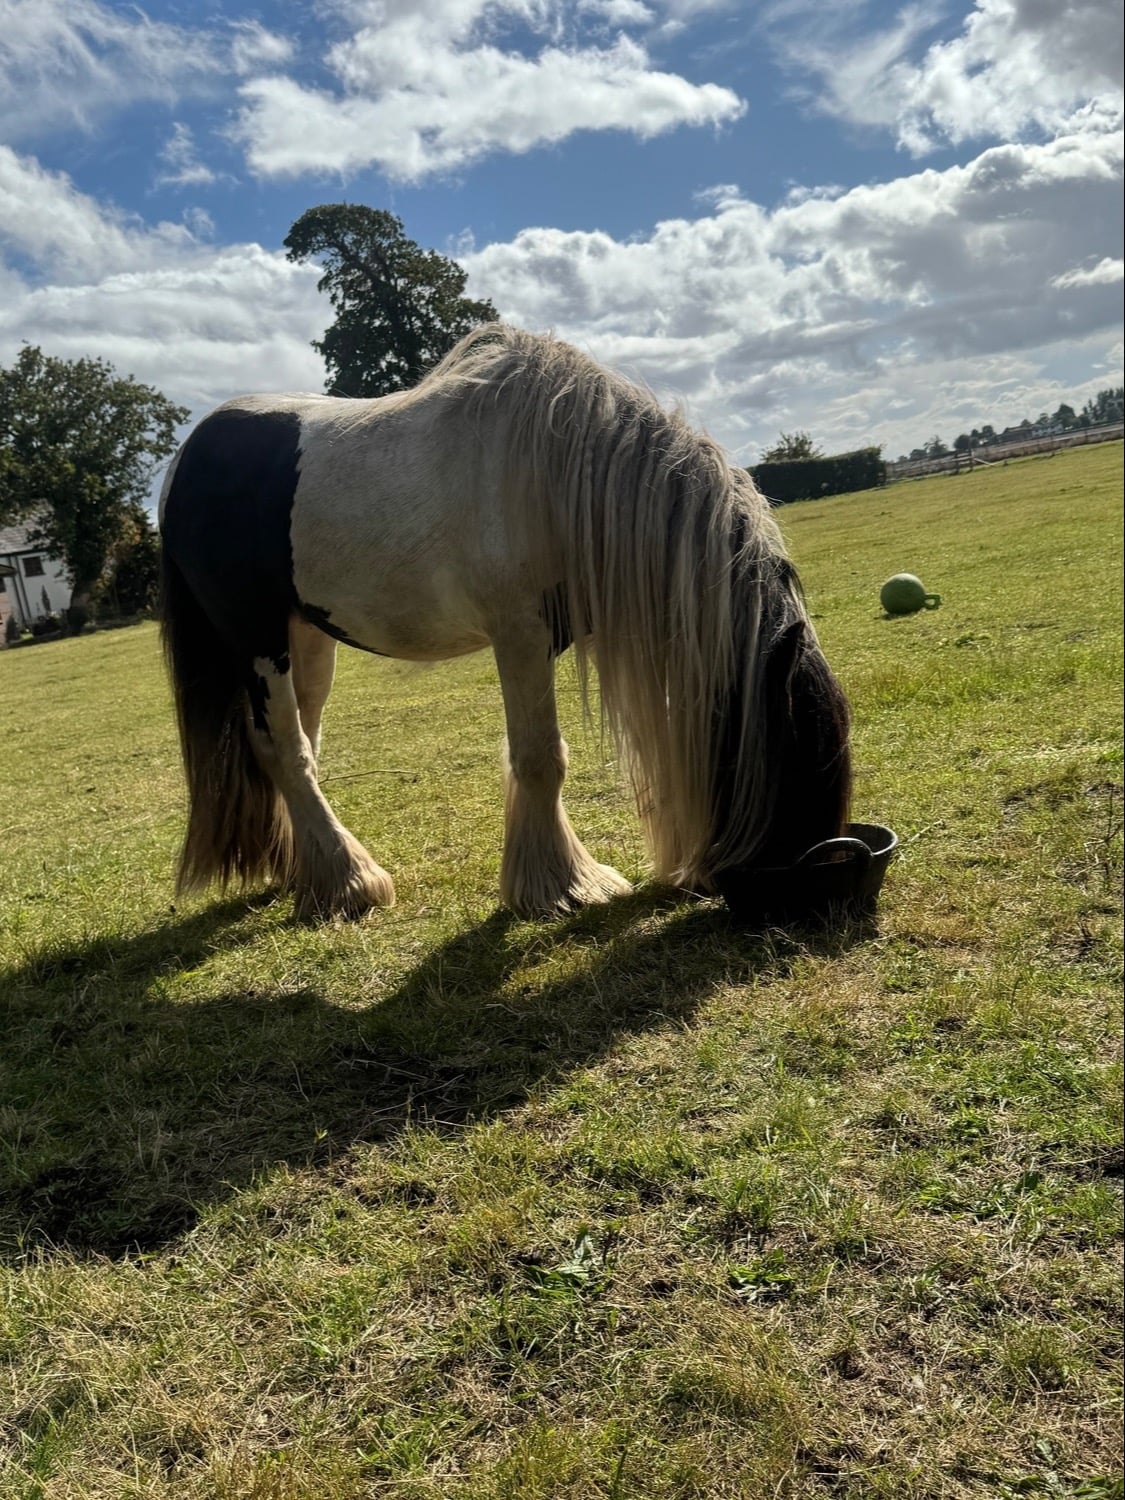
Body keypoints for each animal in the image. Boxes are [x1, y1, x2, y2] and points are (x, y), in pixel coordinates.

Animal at [159, 322, 852, 923]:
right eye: (799, 757)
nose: (807, 894)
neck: (557, 474)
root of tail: (188, 457)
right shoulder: (521, 635)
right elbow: (542, 757)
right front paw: (562, 887)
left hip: (306, 639)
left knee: (291, 744)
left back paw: (305, 873)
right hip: (255, 640)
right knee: (289, 749)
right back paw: (351, 882)